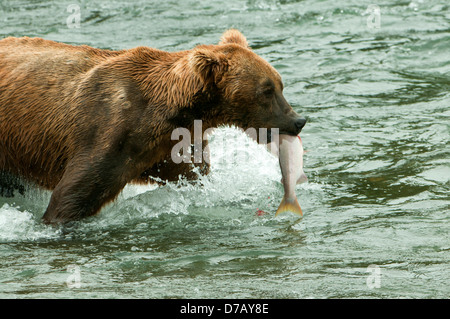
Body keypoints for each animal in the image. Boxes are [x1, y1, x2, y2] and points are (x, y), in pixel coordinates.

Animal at [0, 29, 306, 225]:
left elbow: (194, 176)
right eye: (266, 90)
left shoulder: (165, 149)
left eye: (279, 84)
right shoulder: (106, 133)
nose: (297, 121)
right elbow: (72, 196)